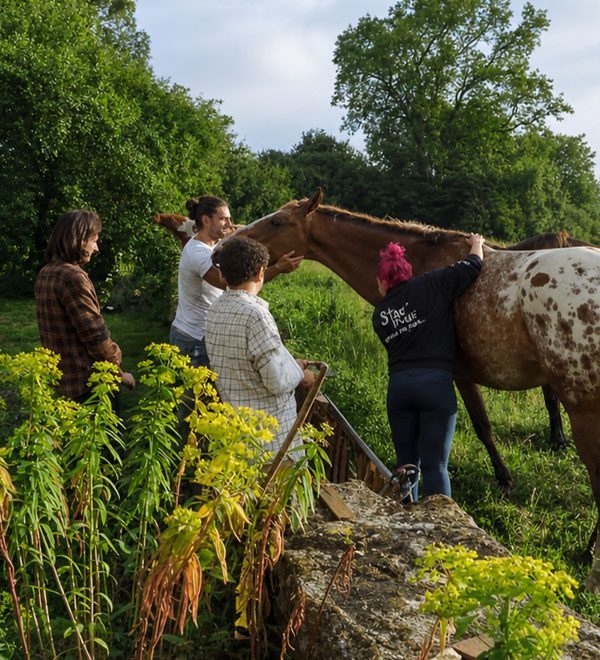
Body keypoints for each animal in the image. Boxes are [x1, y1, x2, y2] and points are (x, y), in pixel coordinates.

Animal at [232, 190, 600, 589]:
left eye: (277, 222)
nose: (227, 246)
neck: (421, 267)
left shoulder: (459, 376)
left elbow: (482, 428)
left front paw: (504, 480)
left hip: (584, 411)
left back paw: (589, 553)